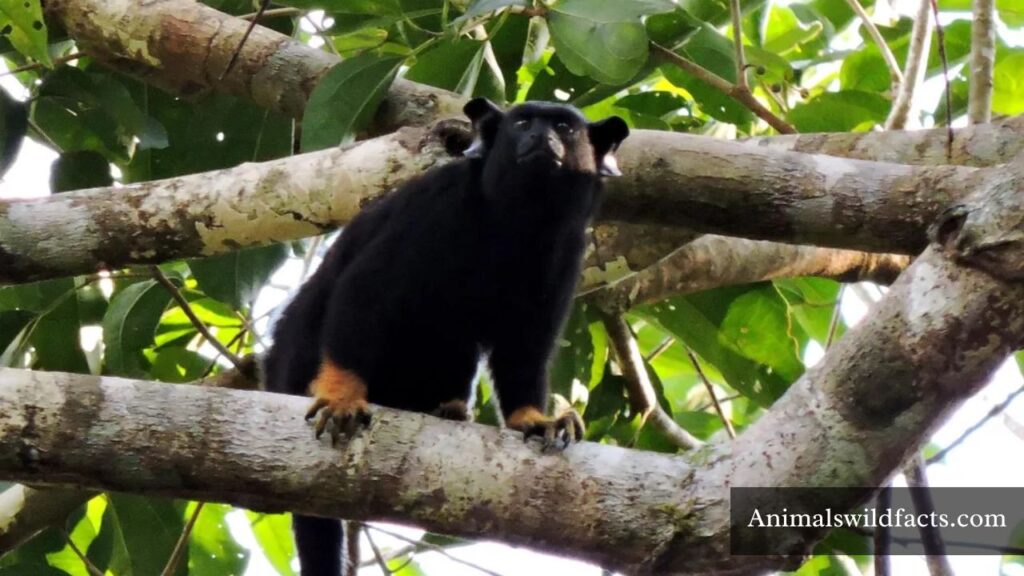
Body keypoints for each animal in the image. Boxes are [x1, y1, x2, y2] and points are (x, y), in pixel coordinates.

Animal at [262, 98, 628, 575]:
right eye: (522, 122)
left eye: (564, 127)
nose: (540, 137)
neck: (517, 223)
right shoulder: (440, 206)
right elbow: (363, 291)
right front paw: (342, 396)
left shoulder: (568, 248)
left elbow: (526, 349)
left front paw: (532, 418)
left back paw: (447, 409)